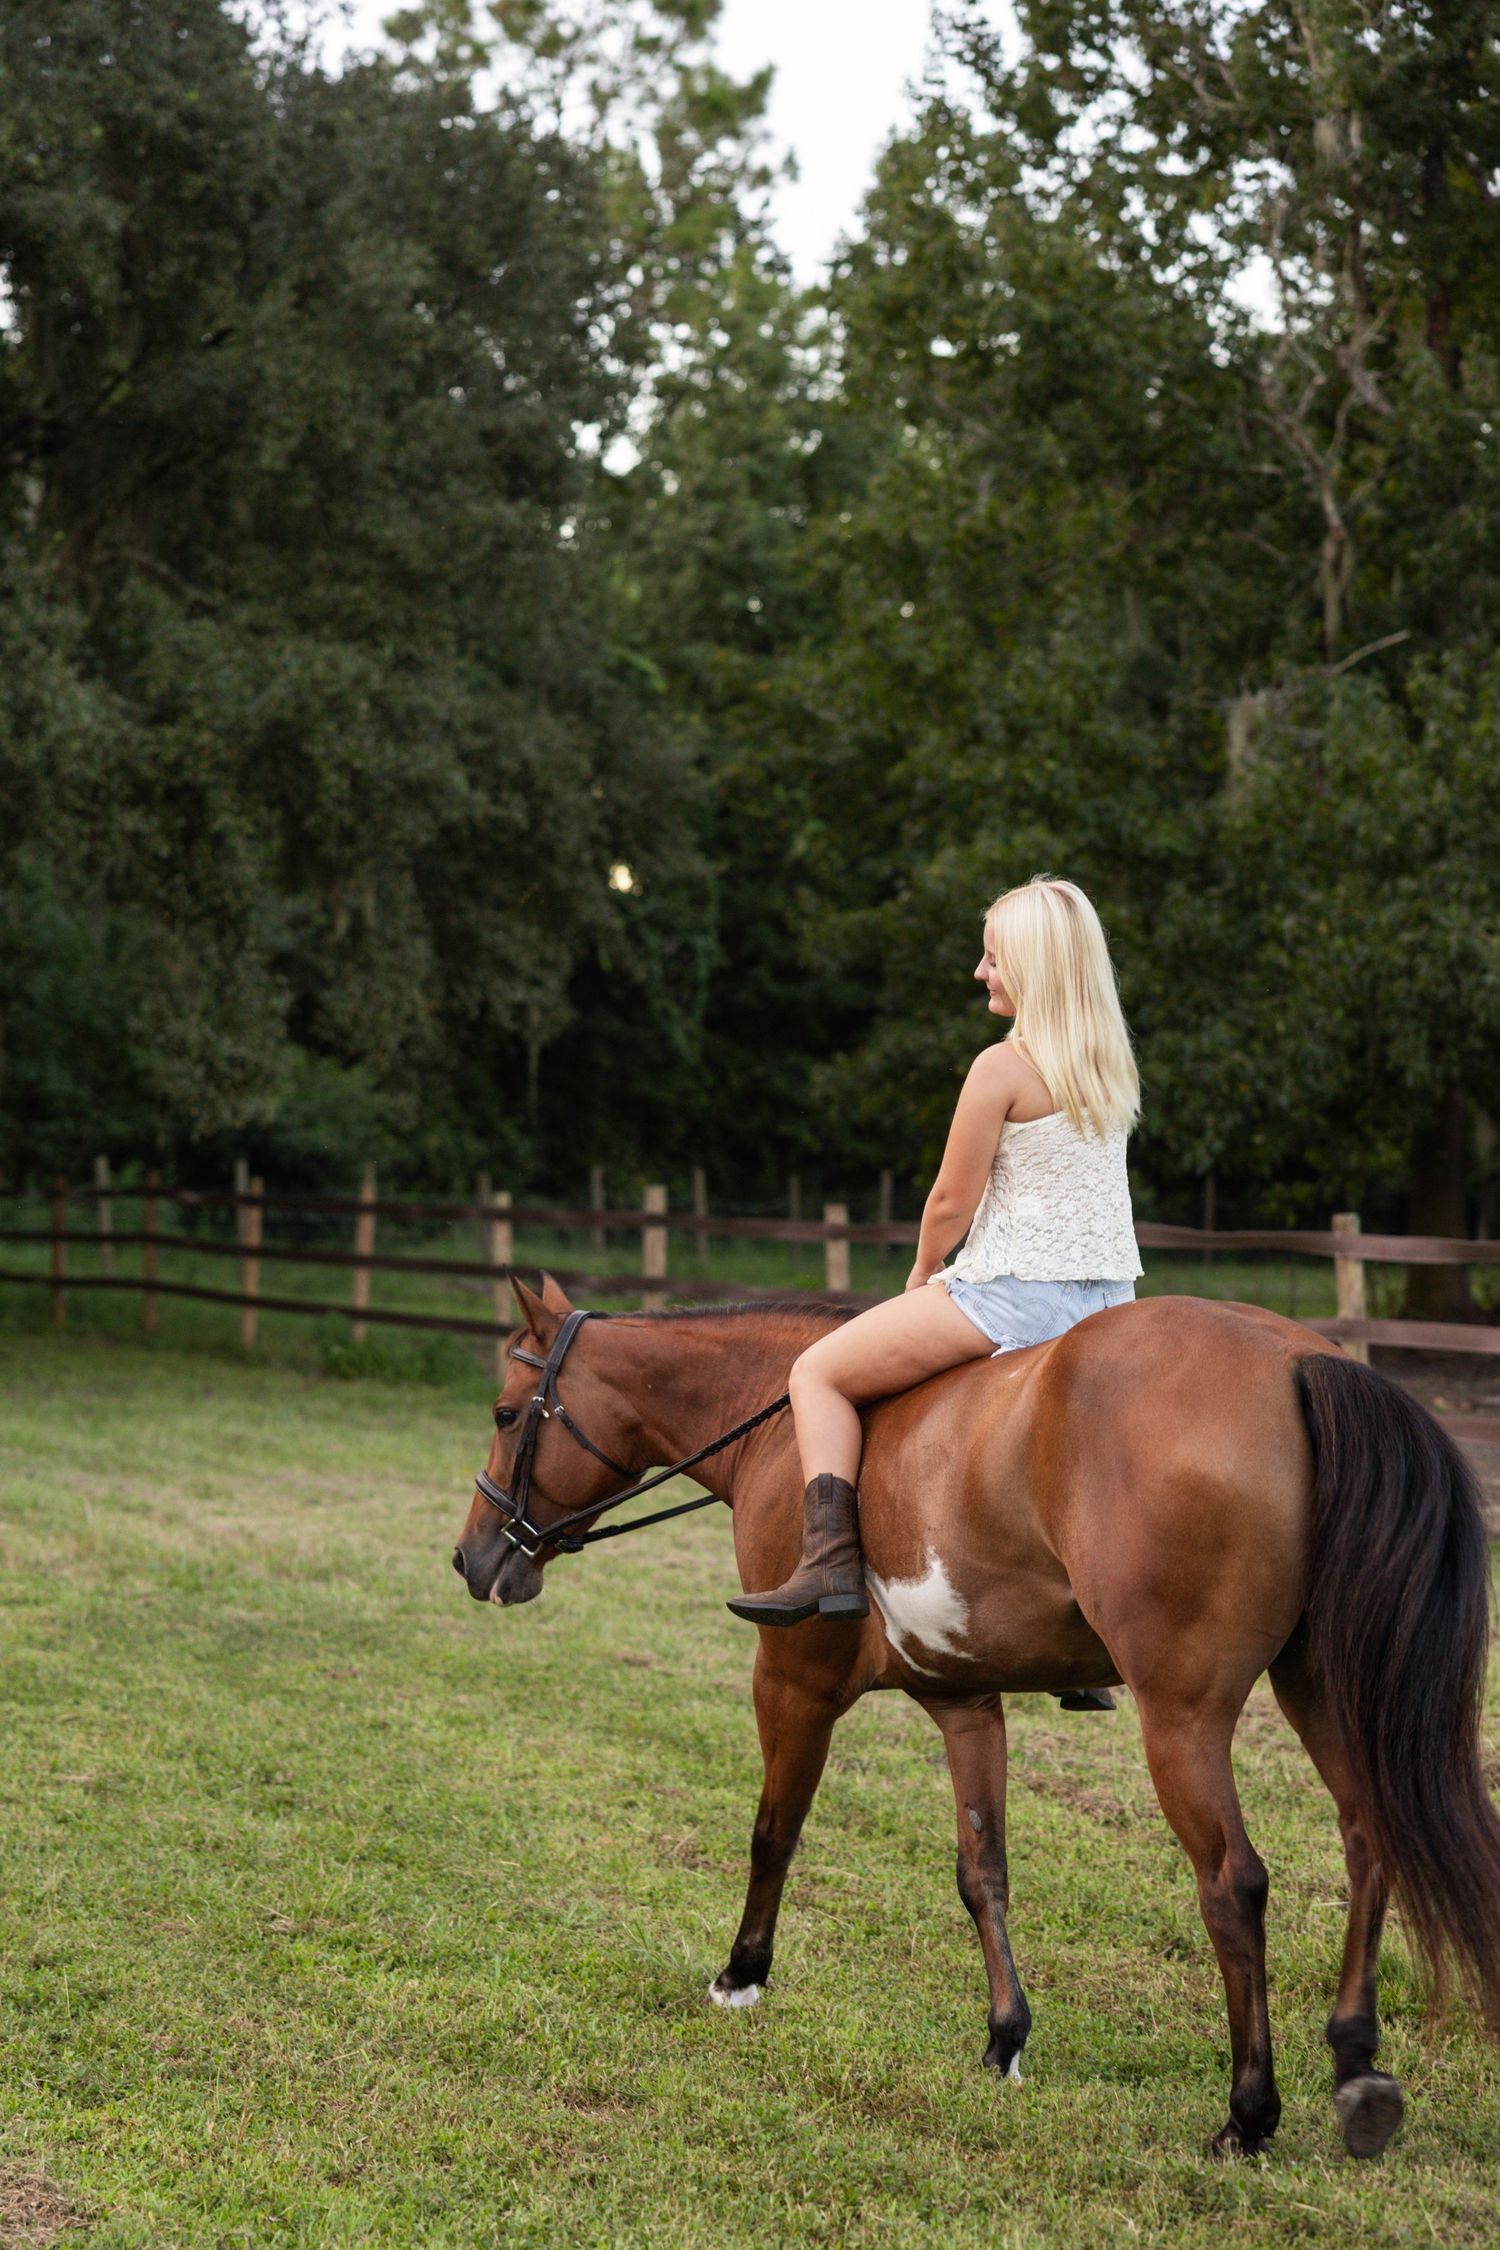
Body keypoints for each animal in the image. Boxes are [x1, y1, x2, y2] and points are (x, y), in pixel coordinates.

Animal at [451, 1272, 1500, 2160]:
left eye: (505, 1413)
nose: (472, 1558)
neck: (782, 1428)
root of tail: (1295, 1360)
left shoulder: (789, 1678)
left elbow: (772, 1832)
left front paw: (741, 1976)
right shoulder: (963, 1700)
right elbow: (980, 1871)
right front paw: (1005, 2040)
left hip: (1183, 1715)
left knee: (1233, 1883)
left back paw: (1249, 2114)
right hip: (1319, 1685)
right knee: (1370, 1838)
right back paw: (1356, 2068)